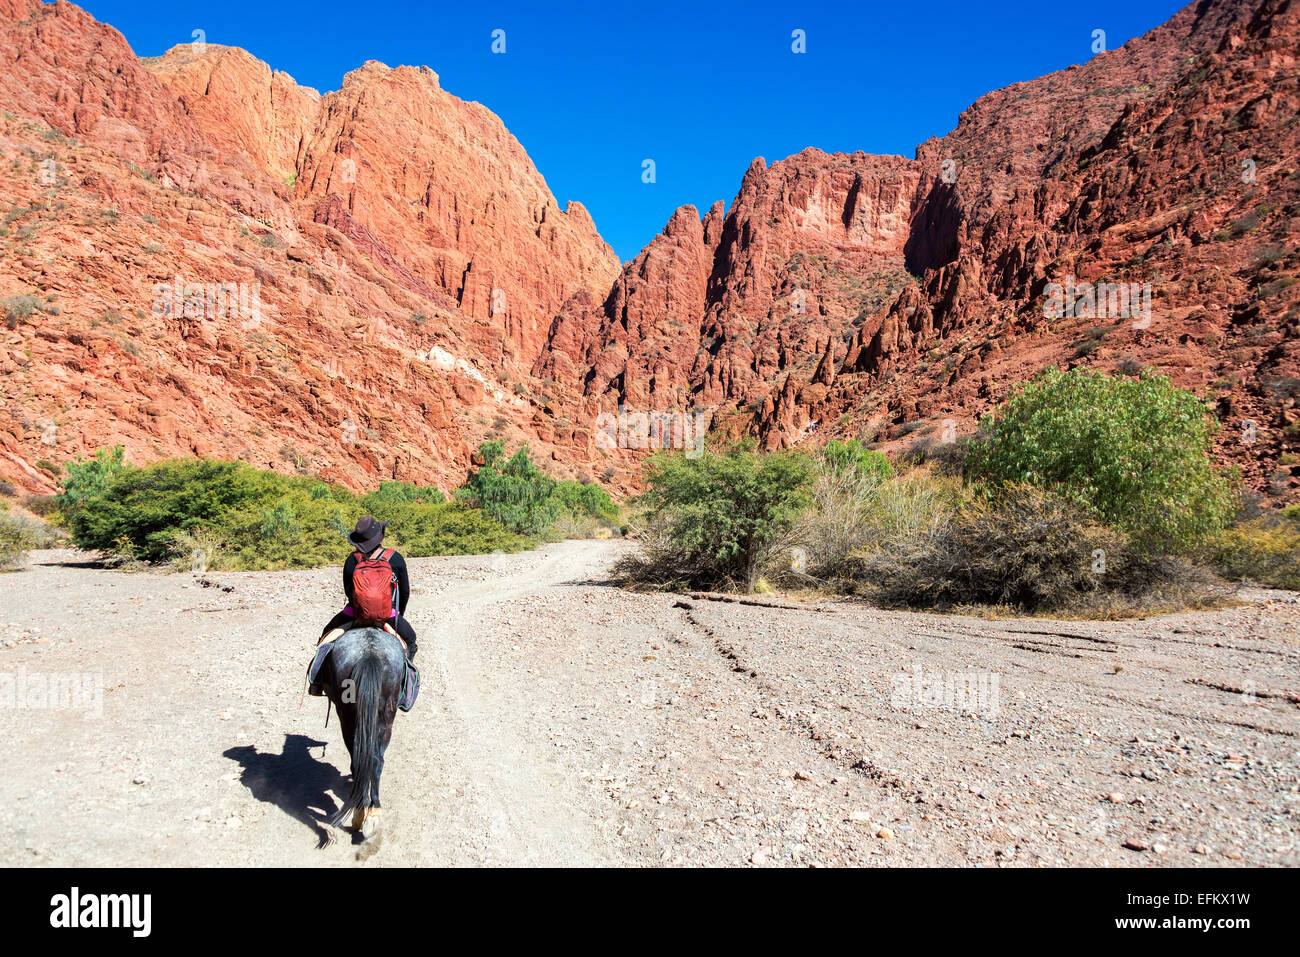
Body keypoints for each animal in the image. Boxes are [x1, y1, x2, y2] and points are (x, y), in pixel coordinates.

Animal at [317, 624, 403, 832]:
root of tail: (369, 655)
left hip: (348, 717)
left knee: (363, 759)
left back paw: (363, 813)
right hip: (382, 719)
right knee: (374, 760)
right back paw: (369, 813)